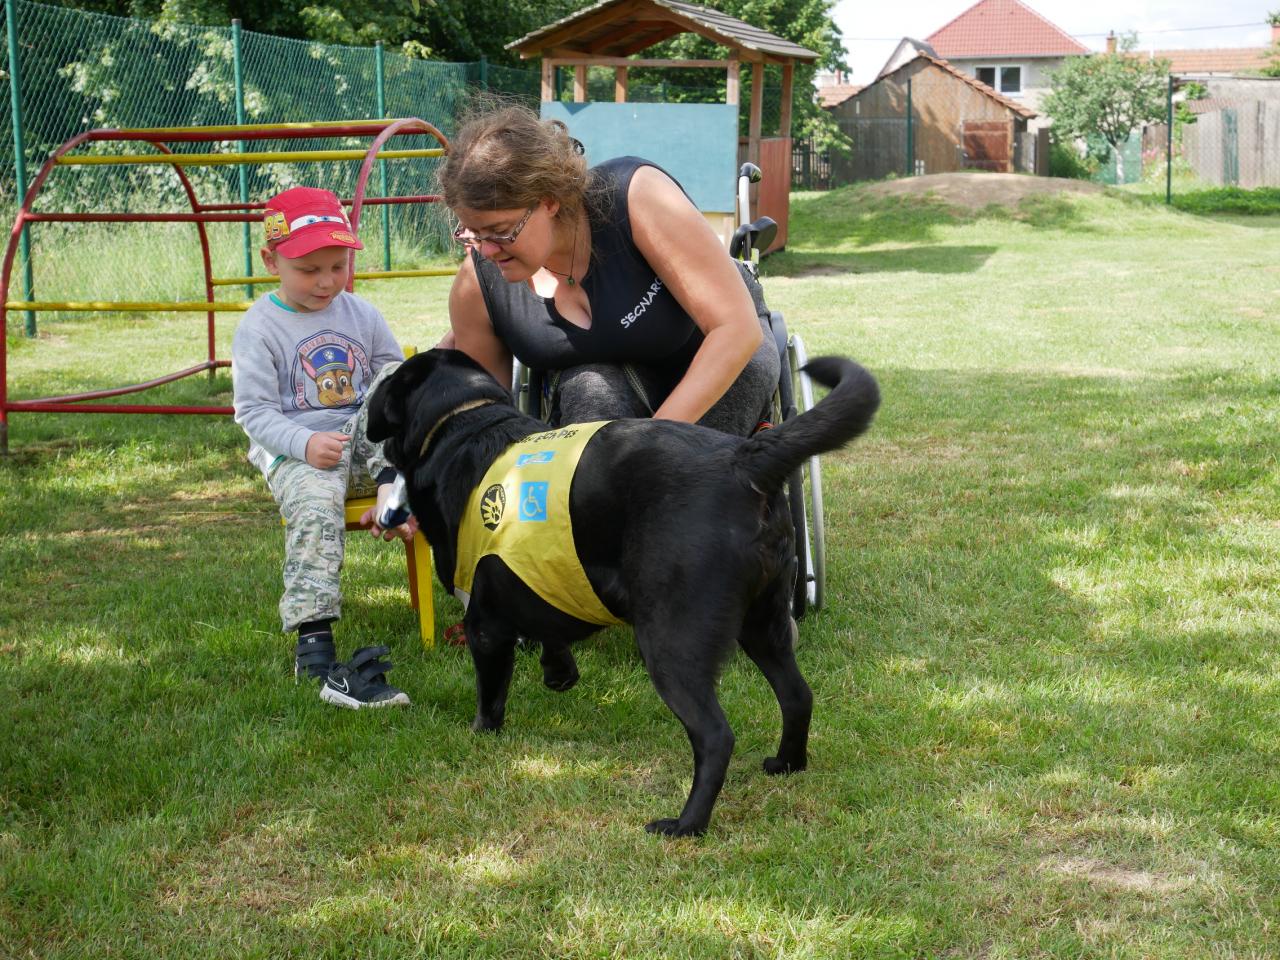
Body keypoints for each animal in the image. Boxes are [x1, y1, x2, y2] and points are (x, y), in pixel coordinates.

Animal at [367, 348, 879, 836]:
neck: (463, 422)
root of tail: (744, 459)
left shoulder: (485, 622)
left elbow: (491, 692)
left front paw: (483, 732)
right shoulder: (543, 573)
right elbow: (550, 621)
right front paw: (559, 672)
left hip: (672, 640)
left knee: (716, 735)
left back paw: (686, 825)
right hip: (764, 623)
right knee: (797, 696)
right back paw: (787, 764)